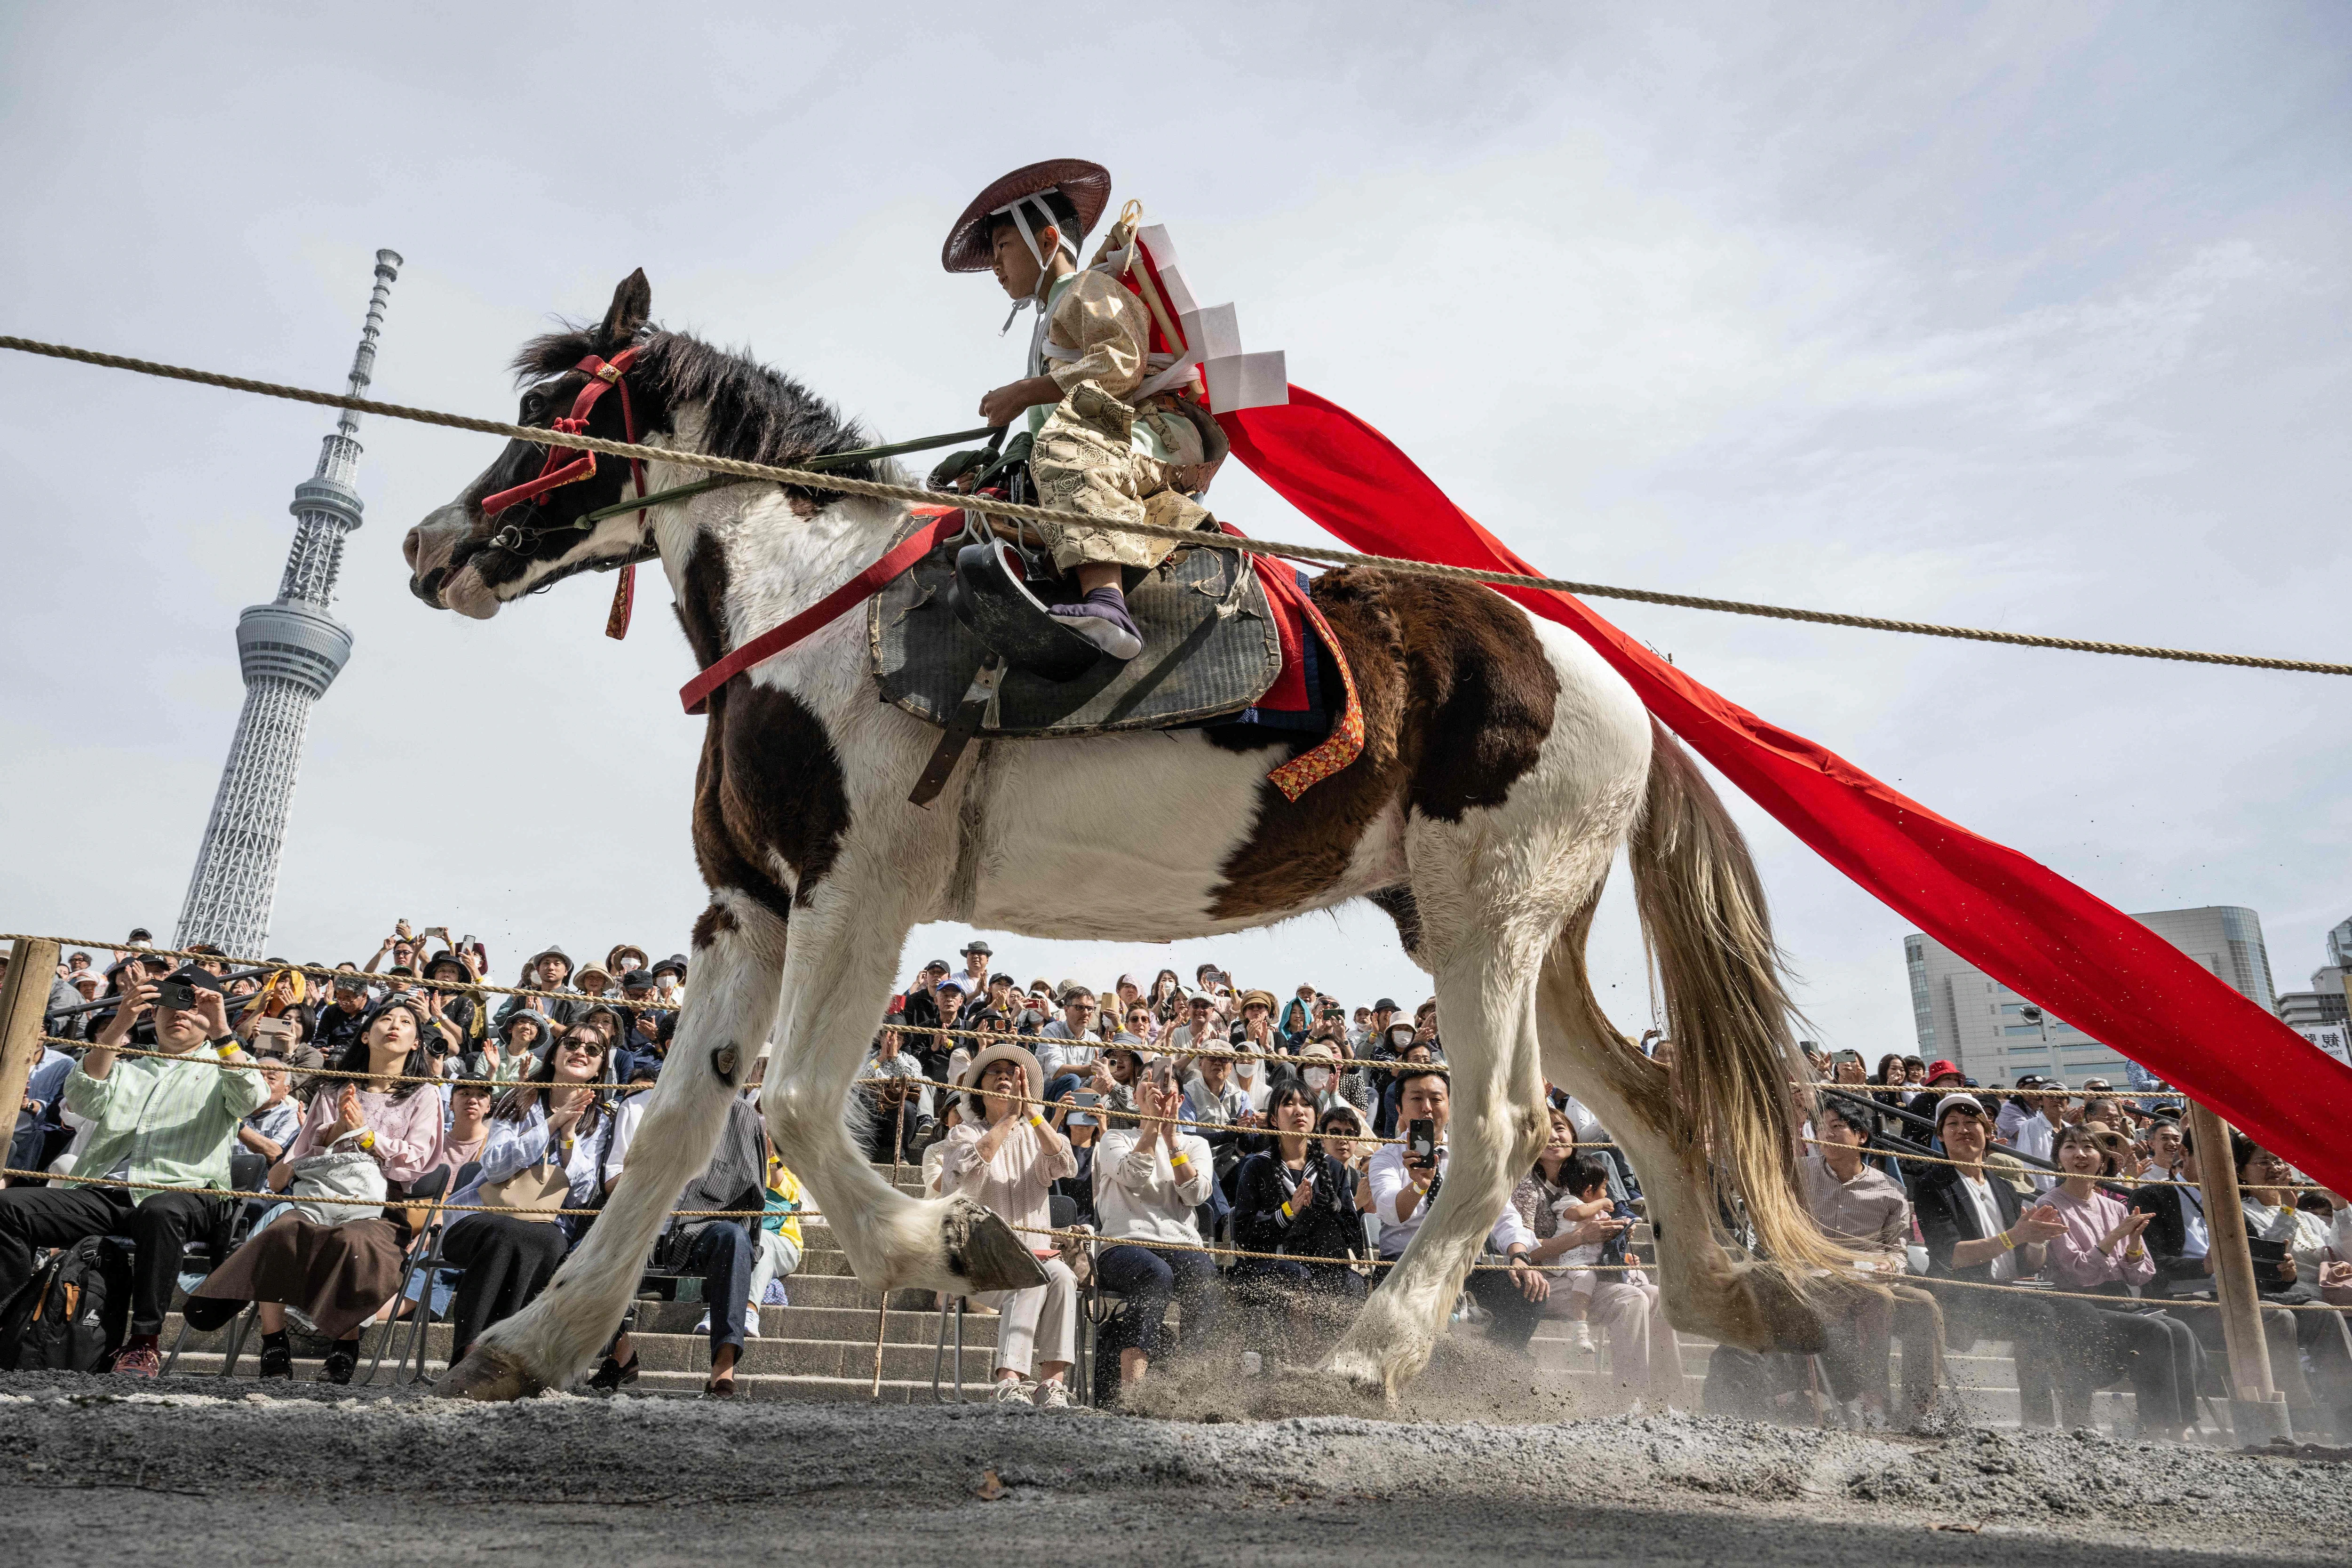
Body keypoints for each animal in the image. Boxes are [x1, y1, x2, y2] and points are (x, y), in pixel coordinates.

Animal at [400, 272, 1835, 1410]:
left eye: (555, 409)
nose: (429, 545)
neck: (811, 609)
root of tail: (1612, 681)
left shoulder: (857, 891)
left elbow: (799, 1101)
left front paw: (957, 1242)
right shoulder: (744, 905)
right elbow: (672, 1130)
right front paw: (532, 1343)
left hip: (1492, 919)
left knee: (1496, 1126)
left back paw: (1369, 1356)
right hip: (1502, 924)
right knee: (1647, 1101)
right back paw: (1738, 1304)